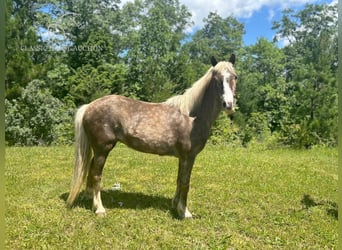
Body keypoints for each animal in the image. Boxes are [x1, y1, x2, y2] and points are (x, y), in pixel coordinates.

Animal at [66, 54, 238, 219]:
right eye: (216, 78)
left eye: (235, 76)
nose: (228, 105)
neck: (191, 117)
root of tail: (89, 106)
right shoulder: (189, 156)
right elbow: (185, 183)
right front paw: (184, 212)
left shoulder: (183, 157)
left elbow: (179, 180)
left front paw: (175, 205)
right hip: (103, 149)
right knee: (96, 175)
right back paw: (100, 209)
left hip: (98, 149)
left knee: (91, 170)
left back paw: (90, 199)